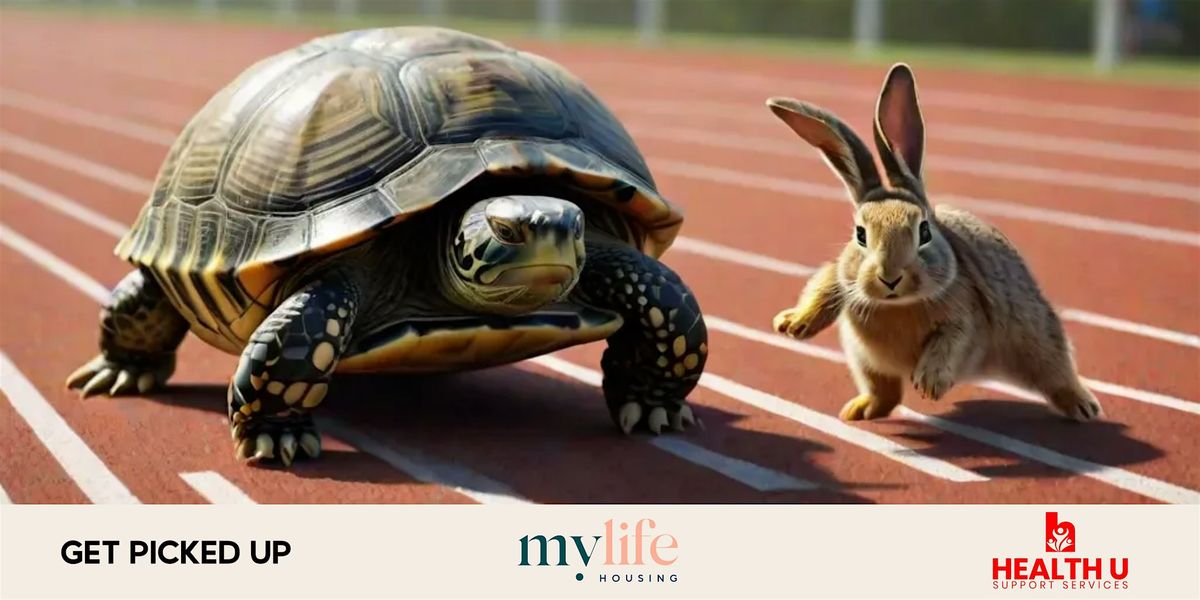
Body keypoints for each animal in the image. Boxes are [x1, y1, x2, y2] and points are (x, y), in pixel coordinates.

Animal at [768, 63, 1102, 423]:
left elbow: (950, 341)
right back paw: (858, 411)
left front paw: (929, 384)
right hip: (864, 361)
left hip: (1036, 337)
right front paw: (793, 324)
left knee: (1056, 371)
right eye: (860, 234)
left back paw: (1085, 408)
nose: (890, 277)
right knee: (885, 393)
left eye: (924, 232)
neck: (898, 305)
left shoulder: (964, 321)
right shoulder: (845, 279)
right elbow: (826, 281)